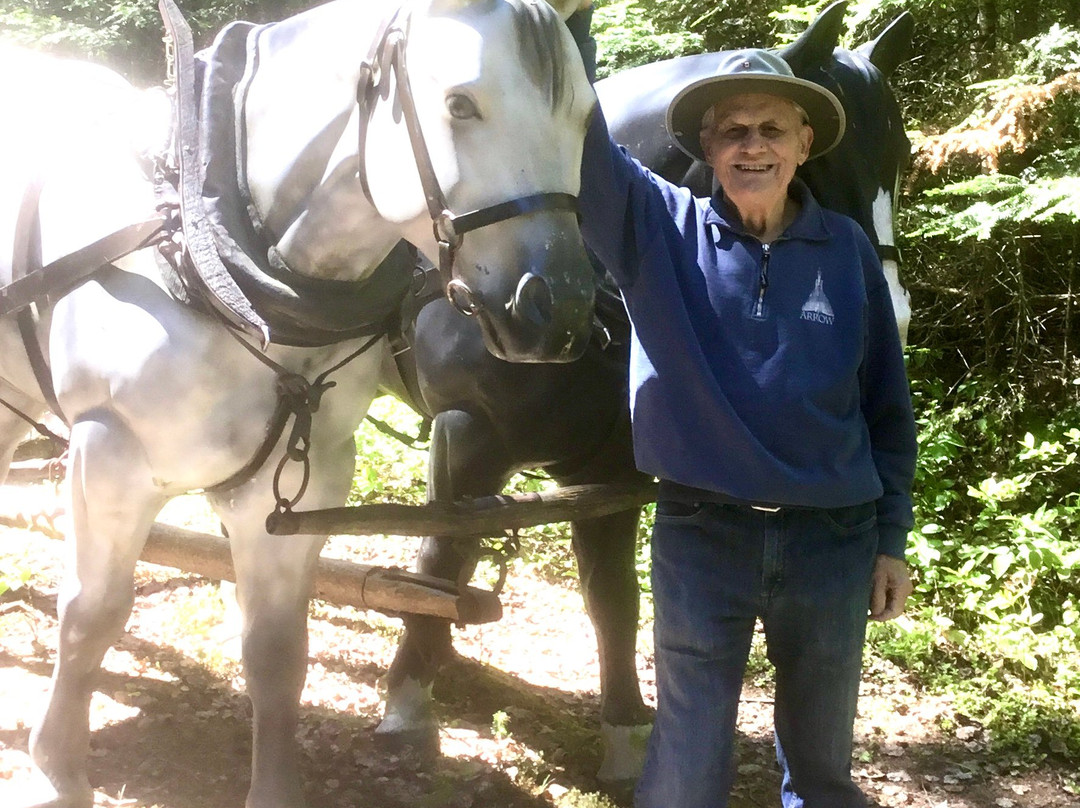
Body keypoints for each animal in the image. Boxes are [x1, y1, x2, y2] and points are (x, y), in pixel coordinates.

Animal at [0, 0, 591, 803]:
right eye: (460, 104)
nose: (559, 312)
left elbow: (278, 649)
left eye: (585, 118)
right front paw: (58, 772)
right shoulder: (108, 454)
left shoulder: (300, 486)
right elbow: (91, 618)